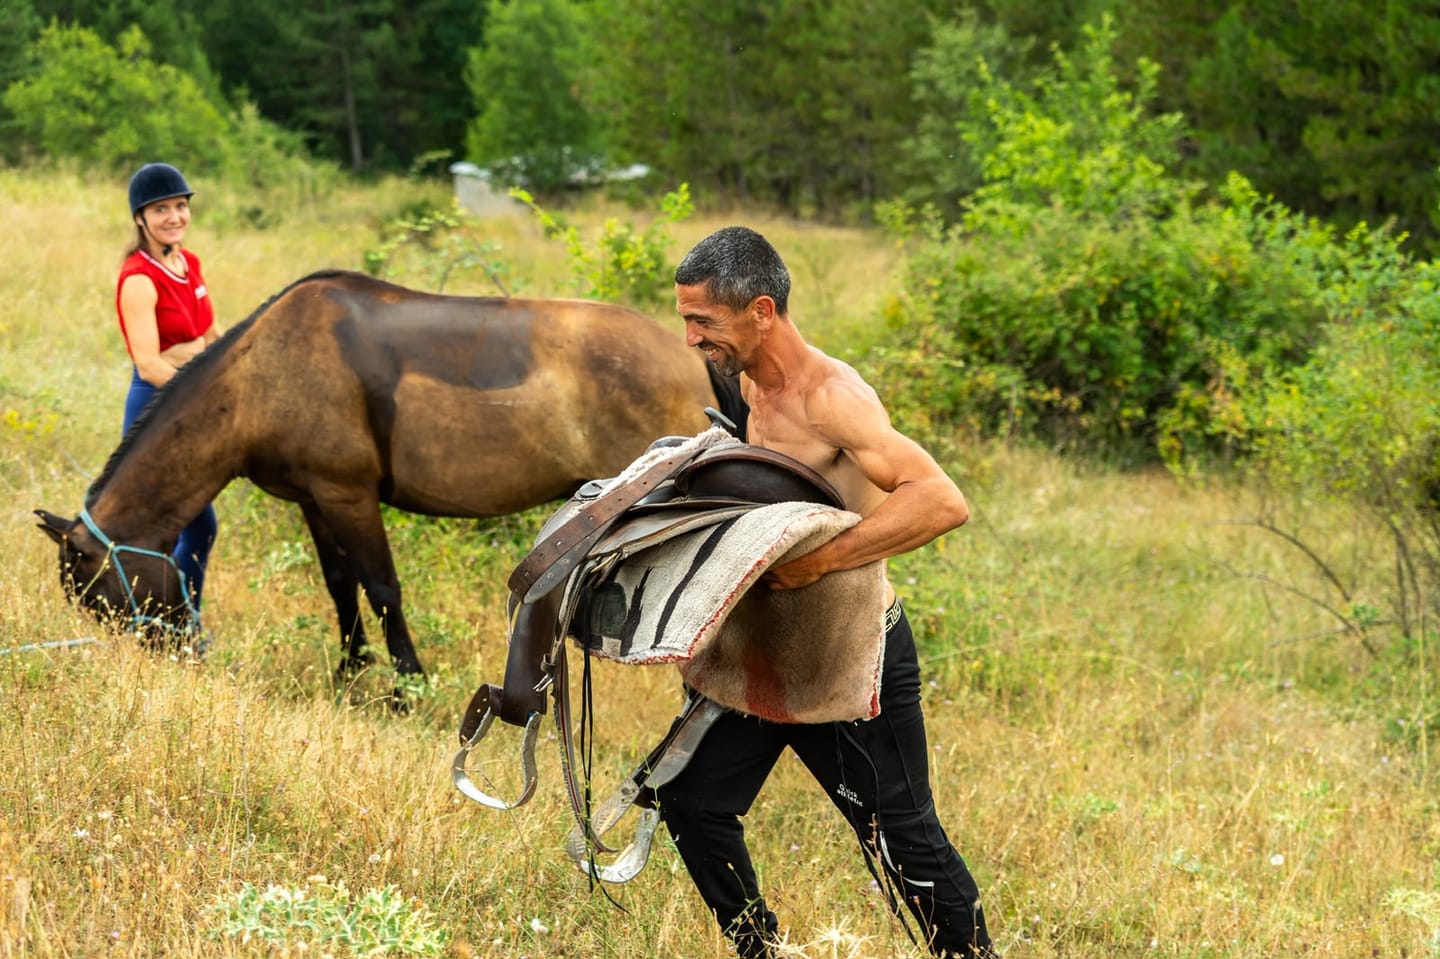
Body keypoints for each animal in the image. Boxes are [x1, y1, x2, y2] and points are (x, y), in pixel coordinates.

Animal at [35, 269, 745, 693]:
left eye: (97, 593)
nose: (174, 654)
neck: (263, 377)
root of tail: (689, 354)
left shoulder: (349, 497)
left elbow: (380, 589)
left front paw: (406, 686)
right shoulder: (314, 500)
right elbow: (340, 588)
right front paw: (351, 673)